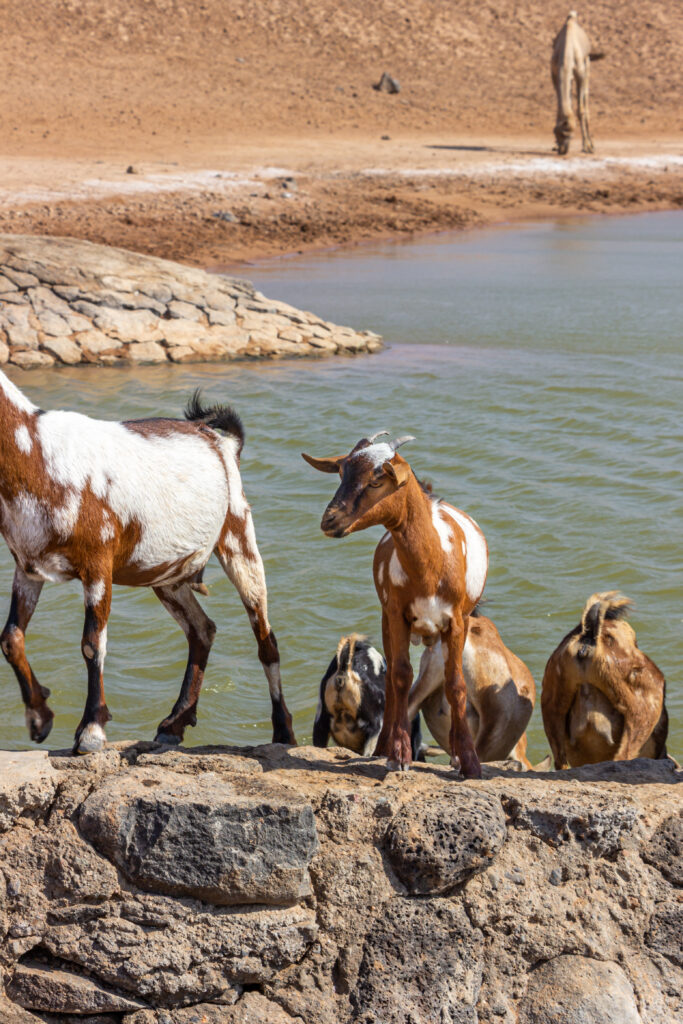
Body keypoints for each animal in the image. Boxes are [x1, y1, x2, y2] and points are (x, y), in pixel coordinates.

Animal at [0, 372, 294, 757]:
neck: (37, 456)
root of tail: (222, 441)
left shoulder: (98, 563)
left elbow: (92, 643)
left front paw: (91, 731)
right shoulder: (28, 567)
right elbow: (10, 638)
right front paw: (40, 718)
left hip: (237, 534)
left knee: (265, 637)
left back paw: (283, 733)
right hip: (167, 573)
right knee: (202, 629)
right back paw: (173, 724)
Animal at [303, 432, 485, 774]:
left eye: (377, 480)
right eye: (341, 472)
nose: (329, 520)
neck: (432, 568)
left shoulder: (457, 620)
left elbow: (456, 683)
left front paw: (468, 761)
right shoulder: (397, 613)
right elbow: (400, 676)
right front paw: (398, 754)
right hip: (387, 620)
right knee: (390, 679)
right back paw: (384, 746)